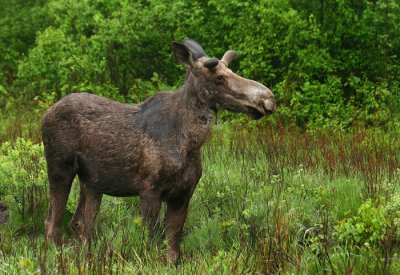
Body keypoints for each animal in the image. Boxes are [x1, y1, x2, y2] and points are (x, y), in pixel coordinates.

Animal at [43, 39, 276, 266]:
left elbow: (173, 247)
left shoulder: (183, 193)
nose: (268, 99)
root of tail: (46, 114)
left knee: (81, 224)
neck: (190, 143)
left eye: (231, 70)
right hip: (59, 169)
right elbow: (151, 242)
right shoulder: (149, 190)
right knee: (52, 222)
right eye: (219, 77)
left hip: (92, 183)